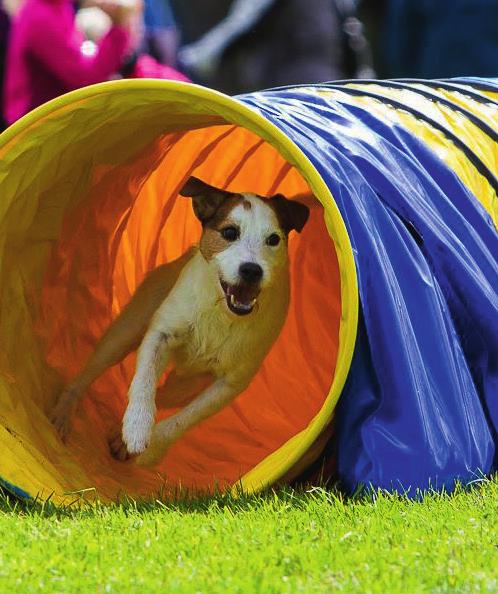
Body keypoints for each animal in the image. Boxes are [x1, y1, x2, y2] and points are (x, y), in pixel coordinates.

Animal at [49, 176, 308, 462]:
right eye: (230, 233)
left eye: (273, 239)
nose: (251, 270)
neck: (220, 311)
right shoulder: (159, 335)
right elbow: (144, 381)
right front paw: (137, 427)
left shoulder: (229, 384)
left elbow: (186, 419)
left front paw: (151, 447)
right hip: (123, 333)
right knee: (89, 374)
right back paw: (63, 414)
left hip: (187, 386)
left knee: (165, 396)